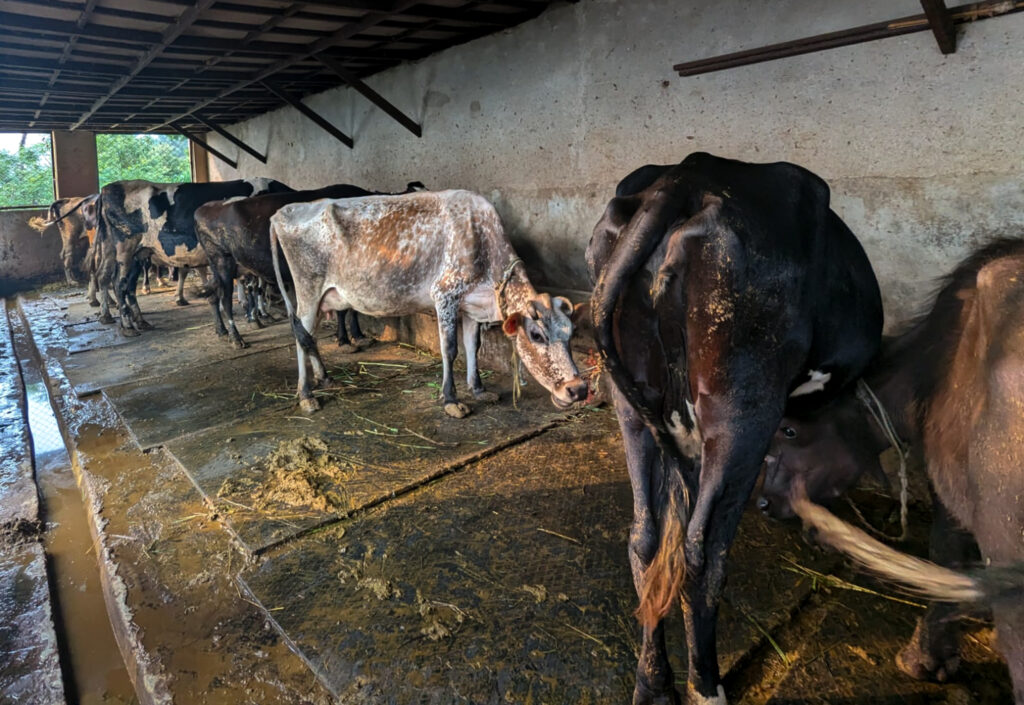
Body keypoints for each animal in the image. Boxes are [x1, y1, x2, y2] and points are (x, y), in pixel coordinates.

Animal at [92, 178, 292, 335]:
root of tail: (108, 188)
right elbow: (258, 285)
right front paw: (260, 316)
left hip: (131, 252)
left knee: (112, 279)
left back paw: (128, 319)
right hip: (125, 248)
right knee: (119, 284)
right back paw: (127, 326)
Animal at [194, 181, 426, 349]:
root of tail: (207, 206)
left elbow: (351, 308)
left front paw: (357, 335)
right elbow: (343, 309)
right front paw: (344, 339)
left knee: (213, 296)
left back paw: (223, 331)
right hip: (222, 261)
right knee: (225, 300)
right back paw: (236, 338)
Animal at [269, 189, 589, 416]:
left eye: (570, 334)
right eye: (536, 335)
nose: (578, 390)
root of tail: (284, 211)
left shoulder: (471, 305)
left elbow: (473, 345)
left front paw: (479, 389)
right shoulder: (445, 295)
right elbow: (450, 349)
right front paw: (451, 400)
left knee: (309, 337)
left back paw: (323, 378)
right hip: (308, 291)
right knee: (301, 336)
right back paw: (306, 395)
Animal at [587, 152, 883, 705]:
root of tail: (684, 176)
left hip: (633, 406)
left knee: (644, 539)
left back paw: (653, 683)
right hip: (742, 404)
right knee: (703, 555)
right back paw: (706, 685)